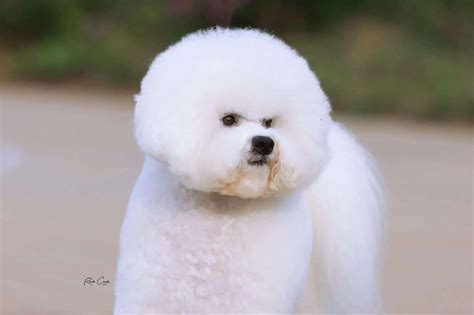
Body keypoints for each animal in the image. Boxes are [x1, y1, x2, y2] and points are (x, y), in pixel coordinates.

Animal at [115, 28, 386, 314]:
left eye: (269, 122)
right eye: (229, 119)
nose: (264, 143)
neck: (222, 205)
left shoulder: (250, 297)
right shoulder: (152, 293)